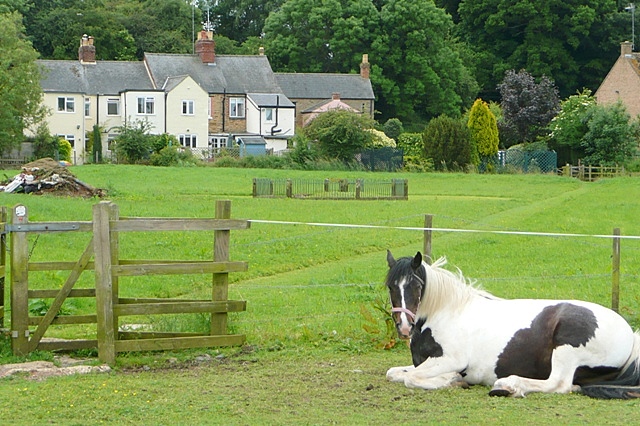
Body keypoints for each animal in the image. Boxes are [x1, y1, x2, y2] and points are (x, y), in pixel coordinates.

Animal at [384, 250, 640, 400]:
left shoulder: (450, 360)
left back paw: (509, 385)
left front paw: (451, 381)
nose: (404, 327)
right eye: (390, 286)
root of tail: (630, 335)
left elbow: (410, 378)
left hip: (567, 349)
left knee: (558, 383)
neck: (447, 312)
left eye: (416, 285)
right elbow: (393, 373)